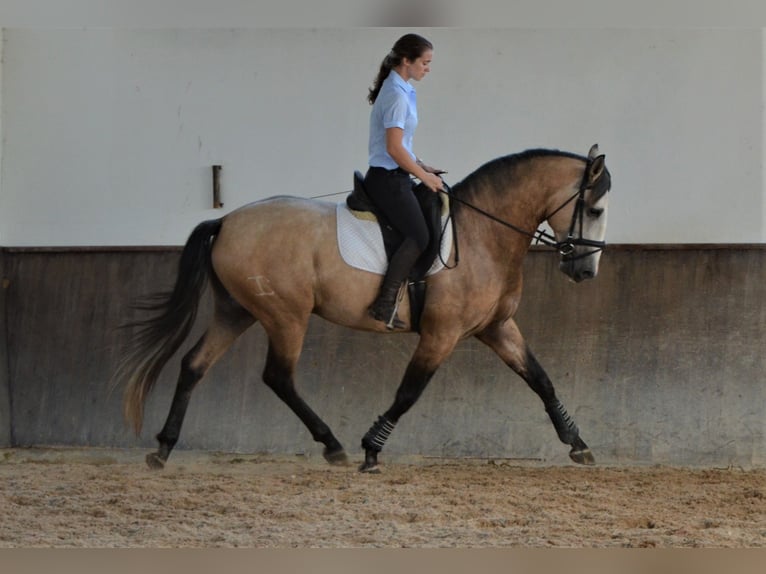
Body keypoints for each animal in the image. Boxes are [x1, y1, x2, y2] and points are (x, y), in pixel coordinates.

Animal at [114, 143, 616, 472]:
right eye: (594, 210)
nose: (586, 271)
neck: (482, 235)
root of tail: (227, 219)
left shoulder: (497, 327)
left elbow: (541, 379)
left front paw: (577, 443)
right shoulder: (442, 334)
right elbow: (409, 392)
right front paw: (372, 449)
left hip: (237, 311)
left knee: (194, 365)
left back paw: (163, 448)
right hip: (285, 316)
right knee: (278, 377)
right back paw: (333, 445)